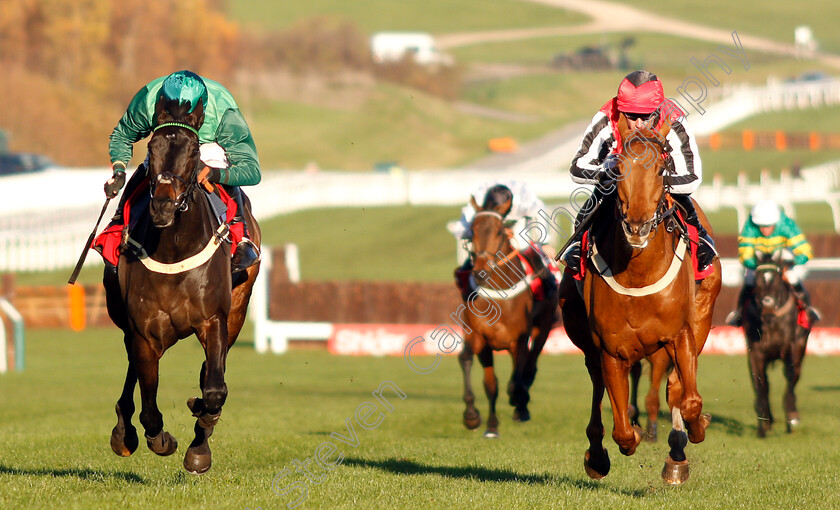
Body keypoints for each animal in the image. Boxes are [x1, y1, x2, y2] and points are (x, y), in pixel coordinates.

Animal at [106, 99, 262, 474]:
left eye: (193, 151)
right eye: (152, 147)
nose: (163, 204)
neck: (174, 250)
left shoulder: (214, 320)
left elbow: (215, 390)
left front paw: (198, 448)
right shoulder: (144, 331)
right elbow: (149, 407)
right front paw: (158, 438)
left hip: (238, 308)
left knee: (213, 373)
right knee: (133, 371)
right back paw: (123, 432)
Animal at [456, 193, 556, 436]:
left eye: (499, 231)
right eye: (472, 230)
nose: (480, 271)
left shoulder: (518, 340)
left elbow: (515, 381)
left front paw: (518, 403)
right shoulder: (479, 337)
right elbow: (487, 381)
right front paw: (478, 419)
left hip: (543, 327)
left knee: (530, 367)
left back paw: (522, 405)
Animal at [556, 115, 720, 486]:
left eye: (661, 168)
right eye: (617, 169)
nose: (638, 226)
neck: (638, 273)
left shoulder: (679, 334)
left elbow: (688, 399)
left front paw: (694, 430)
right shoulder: (611, 349)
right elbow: (622, 432)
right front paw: (616, 443)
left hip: (702, 316)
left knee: (675, 387)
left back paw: (678, 452)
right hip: (584, 336)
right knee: (597, 383)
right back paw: (597, 453)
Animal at [744, 249, 812, 436]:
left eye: (775, 278)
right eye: (758, 279)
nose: (767, 304)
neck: (771, 320)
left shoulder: (789, 349)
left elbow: (789, 378)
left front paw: (791, 418)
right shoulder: (756, 353)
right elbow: (760, 384)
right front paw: (763, 422)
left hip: (801, 348)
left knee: (795, 376)